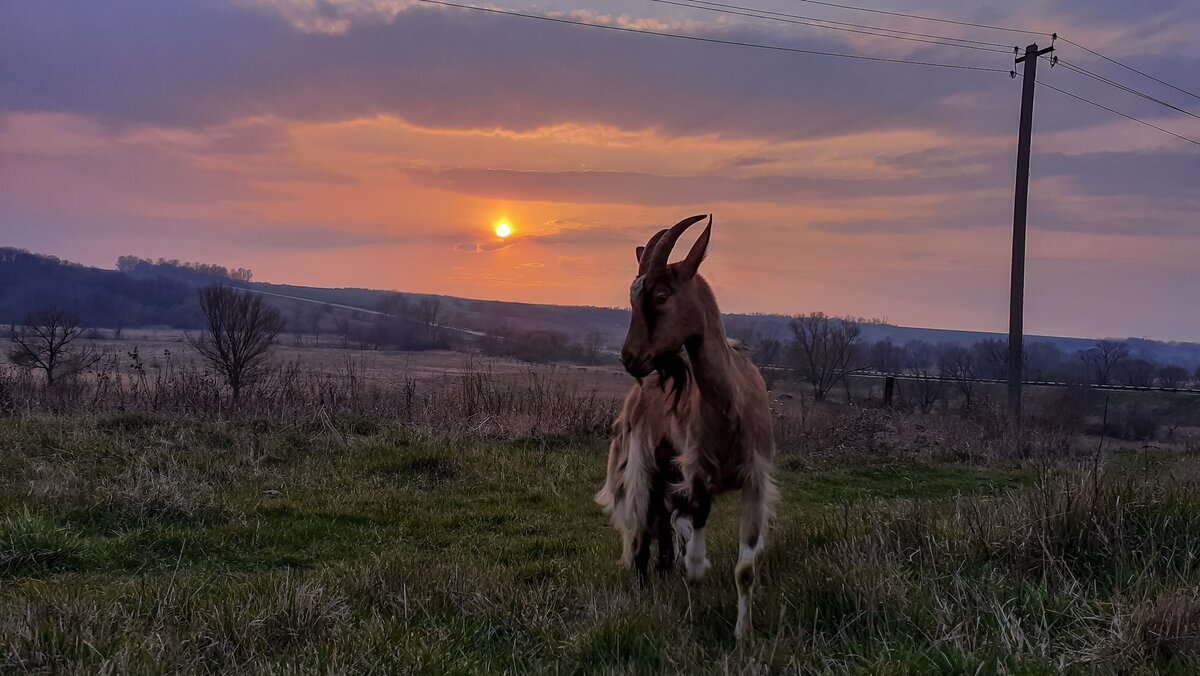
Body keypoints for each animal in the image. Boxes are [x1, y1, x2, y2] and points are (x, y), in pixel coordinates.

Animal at [592, 216, 777, 638]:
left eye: (661, 295)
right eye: (632, 299)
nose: (630, 358)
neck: (728, 408)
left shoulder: (754, 480)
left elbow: (745, 568)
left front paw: (743, 635)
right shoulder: (695, 480)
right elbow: (694, 565)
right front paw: (693, 621)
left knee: (661, 533)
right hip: (645, 467)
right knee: (642, 537)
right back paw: (645, 590)